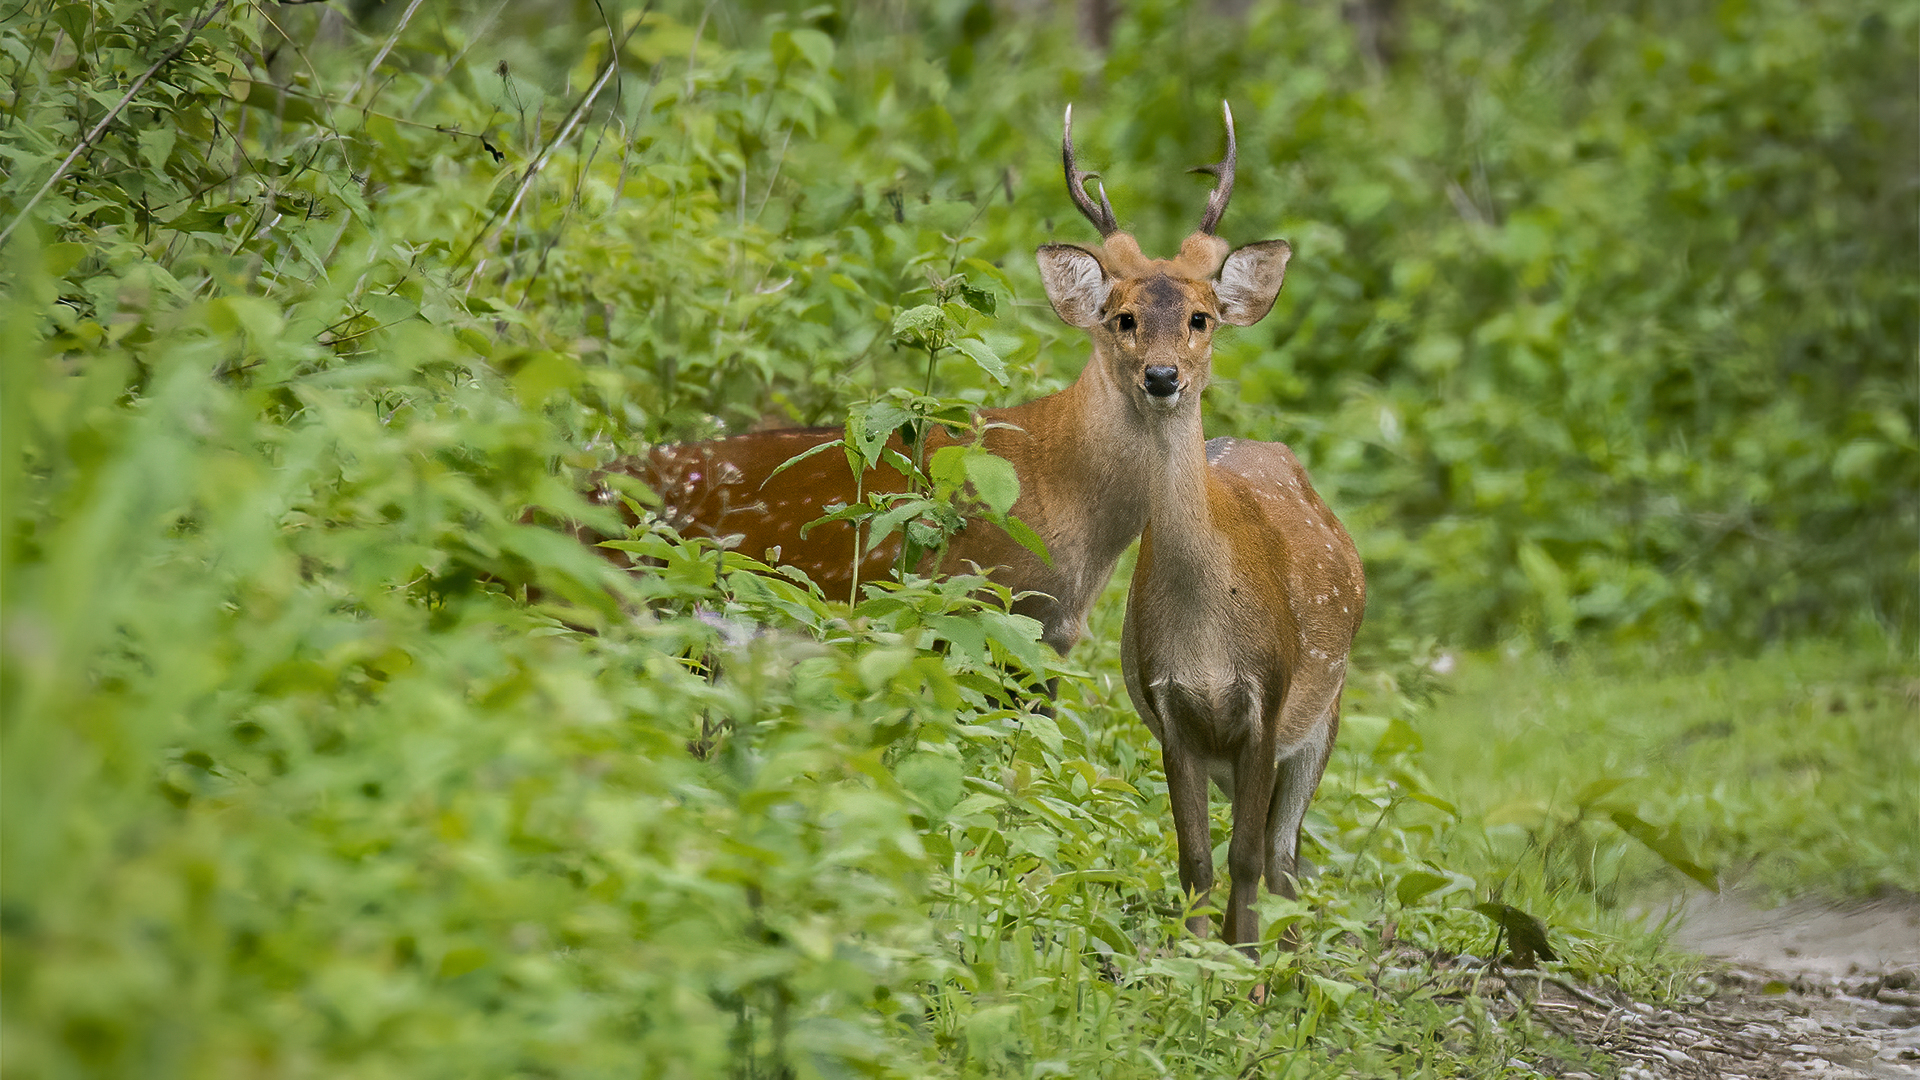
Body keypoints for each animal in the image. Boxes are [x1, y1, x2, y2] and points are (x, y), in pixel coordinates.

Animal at [1021, 105, 1367, 953]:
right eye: (1123, 318)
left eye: (1201, 318)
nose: (1162, 374)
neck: (1209, 643)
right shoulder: (1169, 709)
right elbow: (1196, 859)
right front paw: (1197, 958)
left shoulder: (1269, 699)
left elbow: (1244, 858)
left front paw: (1241, 967)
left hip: (1328, 710)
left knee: (1286, 857)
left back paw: (1288, 958)